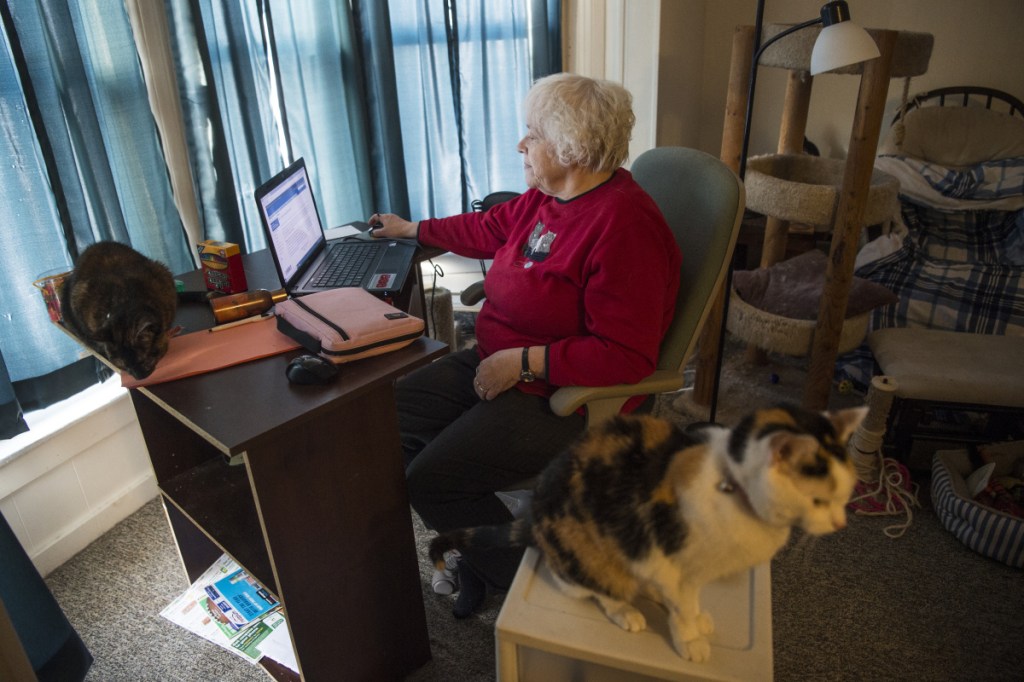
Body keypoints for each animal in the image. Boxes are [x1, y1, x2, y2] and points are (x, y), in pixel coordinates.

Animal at [428, 401, 868, 659]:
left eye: (848, 492)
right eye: (820, 500)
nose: (841, 522)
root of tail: (534, 518)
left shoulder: (690, 570)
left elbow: (688, 597)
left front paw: (693, 618)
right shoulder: (660, 552)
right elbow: (680, 603)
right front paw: (689, 640)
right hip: (586, 557)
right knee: (597, 588)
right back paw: (627, 610)